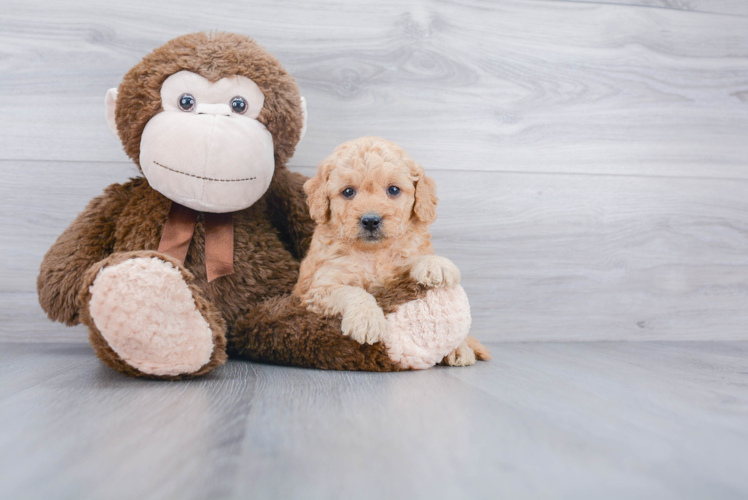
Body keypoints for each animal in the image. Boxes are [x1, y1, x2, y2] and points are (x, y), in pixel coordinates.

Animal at [292, 137, 490, 368]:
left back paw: (459, 349)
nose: (370, 220)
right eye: (348, 192)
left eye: (393, 190)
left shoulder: (403, 260)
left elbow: (416, 258)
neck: (373, 253)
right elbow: (352, 292)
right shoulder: (319, 289)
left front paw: (435, 264)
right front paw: (367, 320)